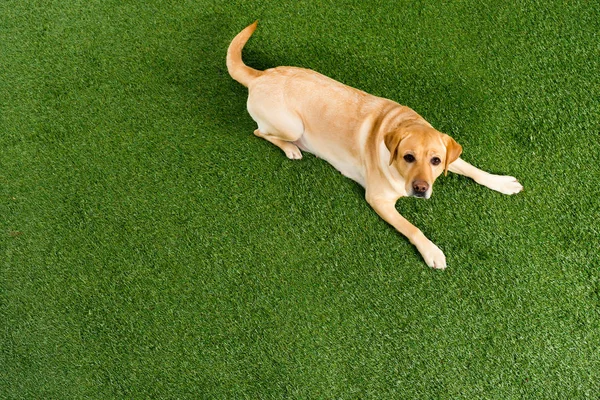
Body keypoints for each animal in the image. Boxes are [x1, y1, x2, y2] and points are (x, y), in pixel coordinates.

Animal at [225, 22, 520, 272]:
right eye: (408, 157)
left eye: (435, 161)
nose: (421, 188)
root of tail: (260, 76)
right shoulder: (379, 200)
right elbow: (412, 228)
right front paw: (432, 251)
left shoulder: (450, 154)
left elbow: (473, 169)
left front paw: (502, 182)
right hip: (292, 126)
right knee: (259, 131)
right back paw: (291, 148)